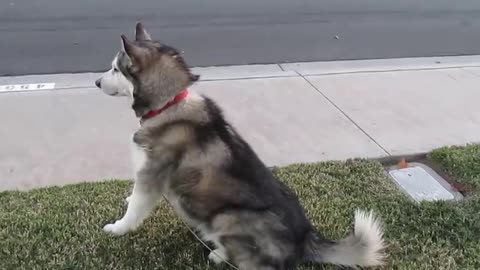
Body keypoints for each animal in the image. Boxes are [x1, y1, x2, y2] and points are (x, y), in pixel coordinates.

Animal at [96, 22, 386, 268]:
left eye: (115, 68)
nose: (97, 82)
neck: (168, 105)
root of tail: (304, 238)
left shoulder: (151, 175)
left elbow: (135, 209)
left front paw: (118, 228)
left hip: (228, 217)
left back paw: (220, 254)